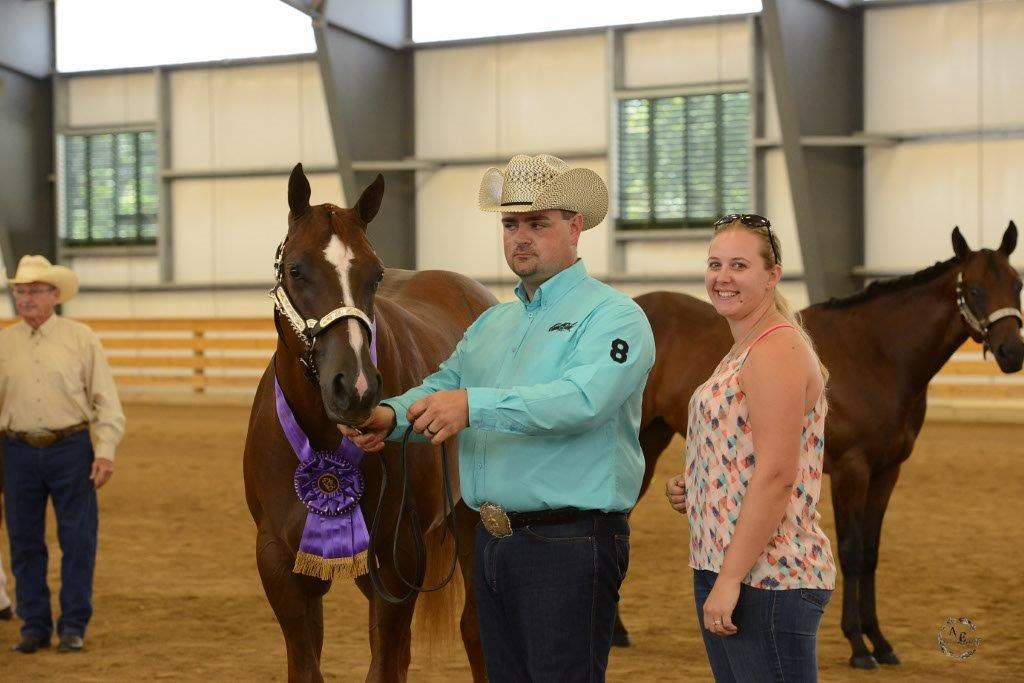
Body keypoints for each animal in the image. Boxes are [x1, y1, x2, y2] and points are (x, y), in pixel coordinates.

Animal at [242, 164, 495, 682]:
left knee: (475, 631)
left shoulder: (398, 563)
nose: (355, 387)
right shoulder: (280, 566)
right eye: (295, 268)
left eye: (375, 274)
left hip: (470, 519)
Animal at [620, 223, 1023, 668]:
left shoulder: (887, 471)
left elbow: (870, 552)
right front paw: (859, 646)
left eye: (1017, 284)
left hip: (652, 438)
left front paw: (881, 642)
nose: (1012, 353)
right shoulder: (852, 469)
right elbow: (850, 551)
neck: (878, 354)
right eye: (975, 290)